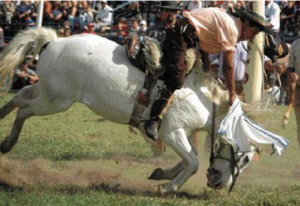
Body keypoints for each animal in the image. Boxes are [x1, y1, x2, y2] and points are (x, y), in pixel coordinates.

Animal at [0, 27, 262, 195]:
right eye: (245, 158)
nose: (220, 184)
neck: (201, 97)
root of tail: (52, 42)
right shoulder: (171, 132)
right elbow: (193, 161)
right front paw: (166, 187)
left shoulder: (182, 134)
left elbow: (189, 158)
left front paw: (162, 174)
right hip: (57, 101)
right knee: (24, 109)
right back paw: (7, 143)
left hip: (46, 90)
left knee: (21, 96)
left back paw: (2, 119)